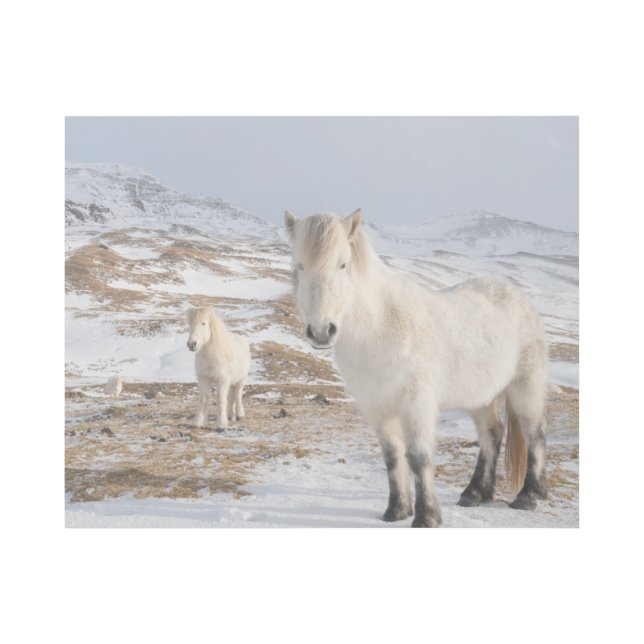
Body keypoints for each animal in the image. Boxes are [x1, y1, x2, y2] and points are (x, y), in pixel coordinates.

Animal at [284, 209, 549, 527]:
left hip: (526, 387)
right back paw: (474, 493)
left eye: (342, 264)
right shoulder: (378, 408)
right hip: (480, 396)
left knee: (534, 434)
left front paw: (426, 517)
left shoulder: (416, 404)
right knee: (492, 433)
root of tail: (518, 297)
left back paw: (528, 496)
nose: (322, 331)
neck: (380, 327)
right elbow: (392, 456)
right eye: (300, 265)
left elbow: (418, 457)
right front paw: (397, 510)